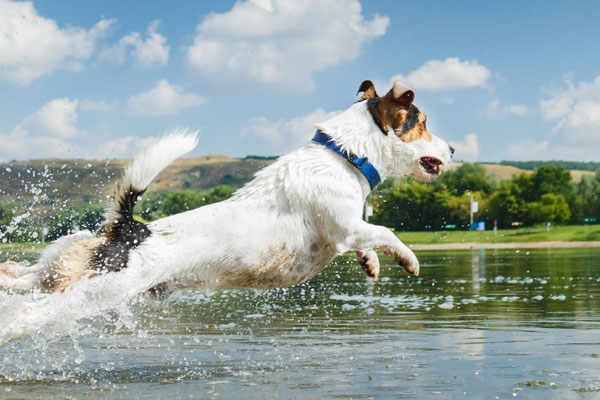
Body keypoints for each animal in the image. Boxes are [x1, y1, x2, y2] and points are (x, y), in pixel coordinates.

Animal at [0, 80, 450, 296]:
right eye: (424, 124)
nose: (454, 148)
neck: (344, 153)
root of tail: (131, 229)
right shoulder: (346, 226)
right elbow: (386, 232)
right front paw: (408, 259)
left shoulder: (349, 232)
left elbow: (369, 242)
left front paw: (370, 263)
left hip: (64, 269)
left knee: (29, 277)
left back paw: (9, 275)